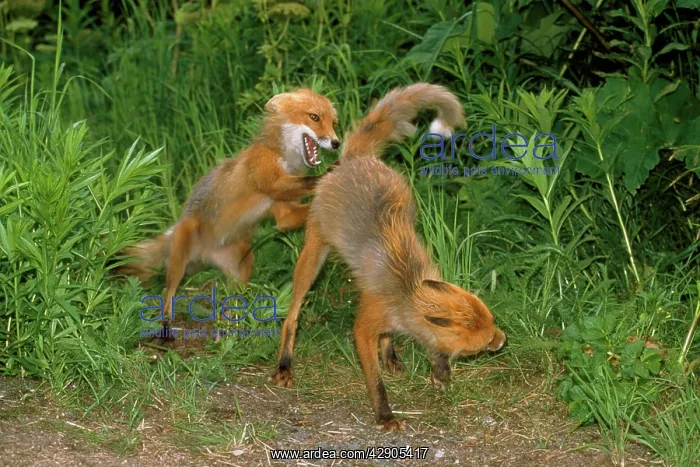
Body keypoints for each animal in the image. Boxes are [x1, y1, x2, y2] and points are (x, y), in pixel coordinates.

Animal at [116, 88, 340, 324]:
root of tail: (205, 251)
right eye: (314, 117)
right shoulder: (268, 180)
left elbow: (288, 218)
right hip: (179, 259)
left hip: (242, 269)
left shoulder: (283, 212)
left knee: (234, 297)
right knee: (168, 291)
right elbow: (306, 181)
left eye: (334, 123)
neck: (283, 158)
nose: (336, 143)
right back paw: (167, 320)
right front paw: (330, 173)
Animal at [270, 83, 507, 431]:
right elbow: (375, 380)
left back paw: (391, 355)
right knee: (292, 316)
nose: (503, 340)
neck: (407, 289)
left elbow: (429, 345)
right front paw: (385, 415)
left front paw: (439, 370)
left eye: (492, 326)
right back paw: (285, 364)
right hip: (313, 254)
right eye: (485, 339)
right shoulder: (364, 327)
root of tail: (356, 158)